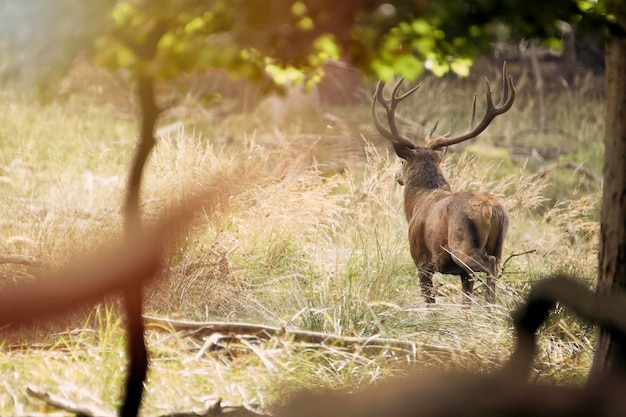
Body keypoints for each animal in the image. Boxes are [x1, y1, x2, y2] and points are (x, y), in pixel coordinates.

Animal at [370, 62, 512, 302]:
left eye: (402, 160)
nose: (396, 176)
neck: (417, 203)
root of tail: (494, 210)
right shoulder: (464, 274)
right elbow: (465, 303)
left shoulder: (422, 261)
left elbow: (430, 302)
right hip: (499, 245)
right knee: (497, 265)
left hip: (462, 246)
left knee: (490, 266)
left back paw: (489, 304)